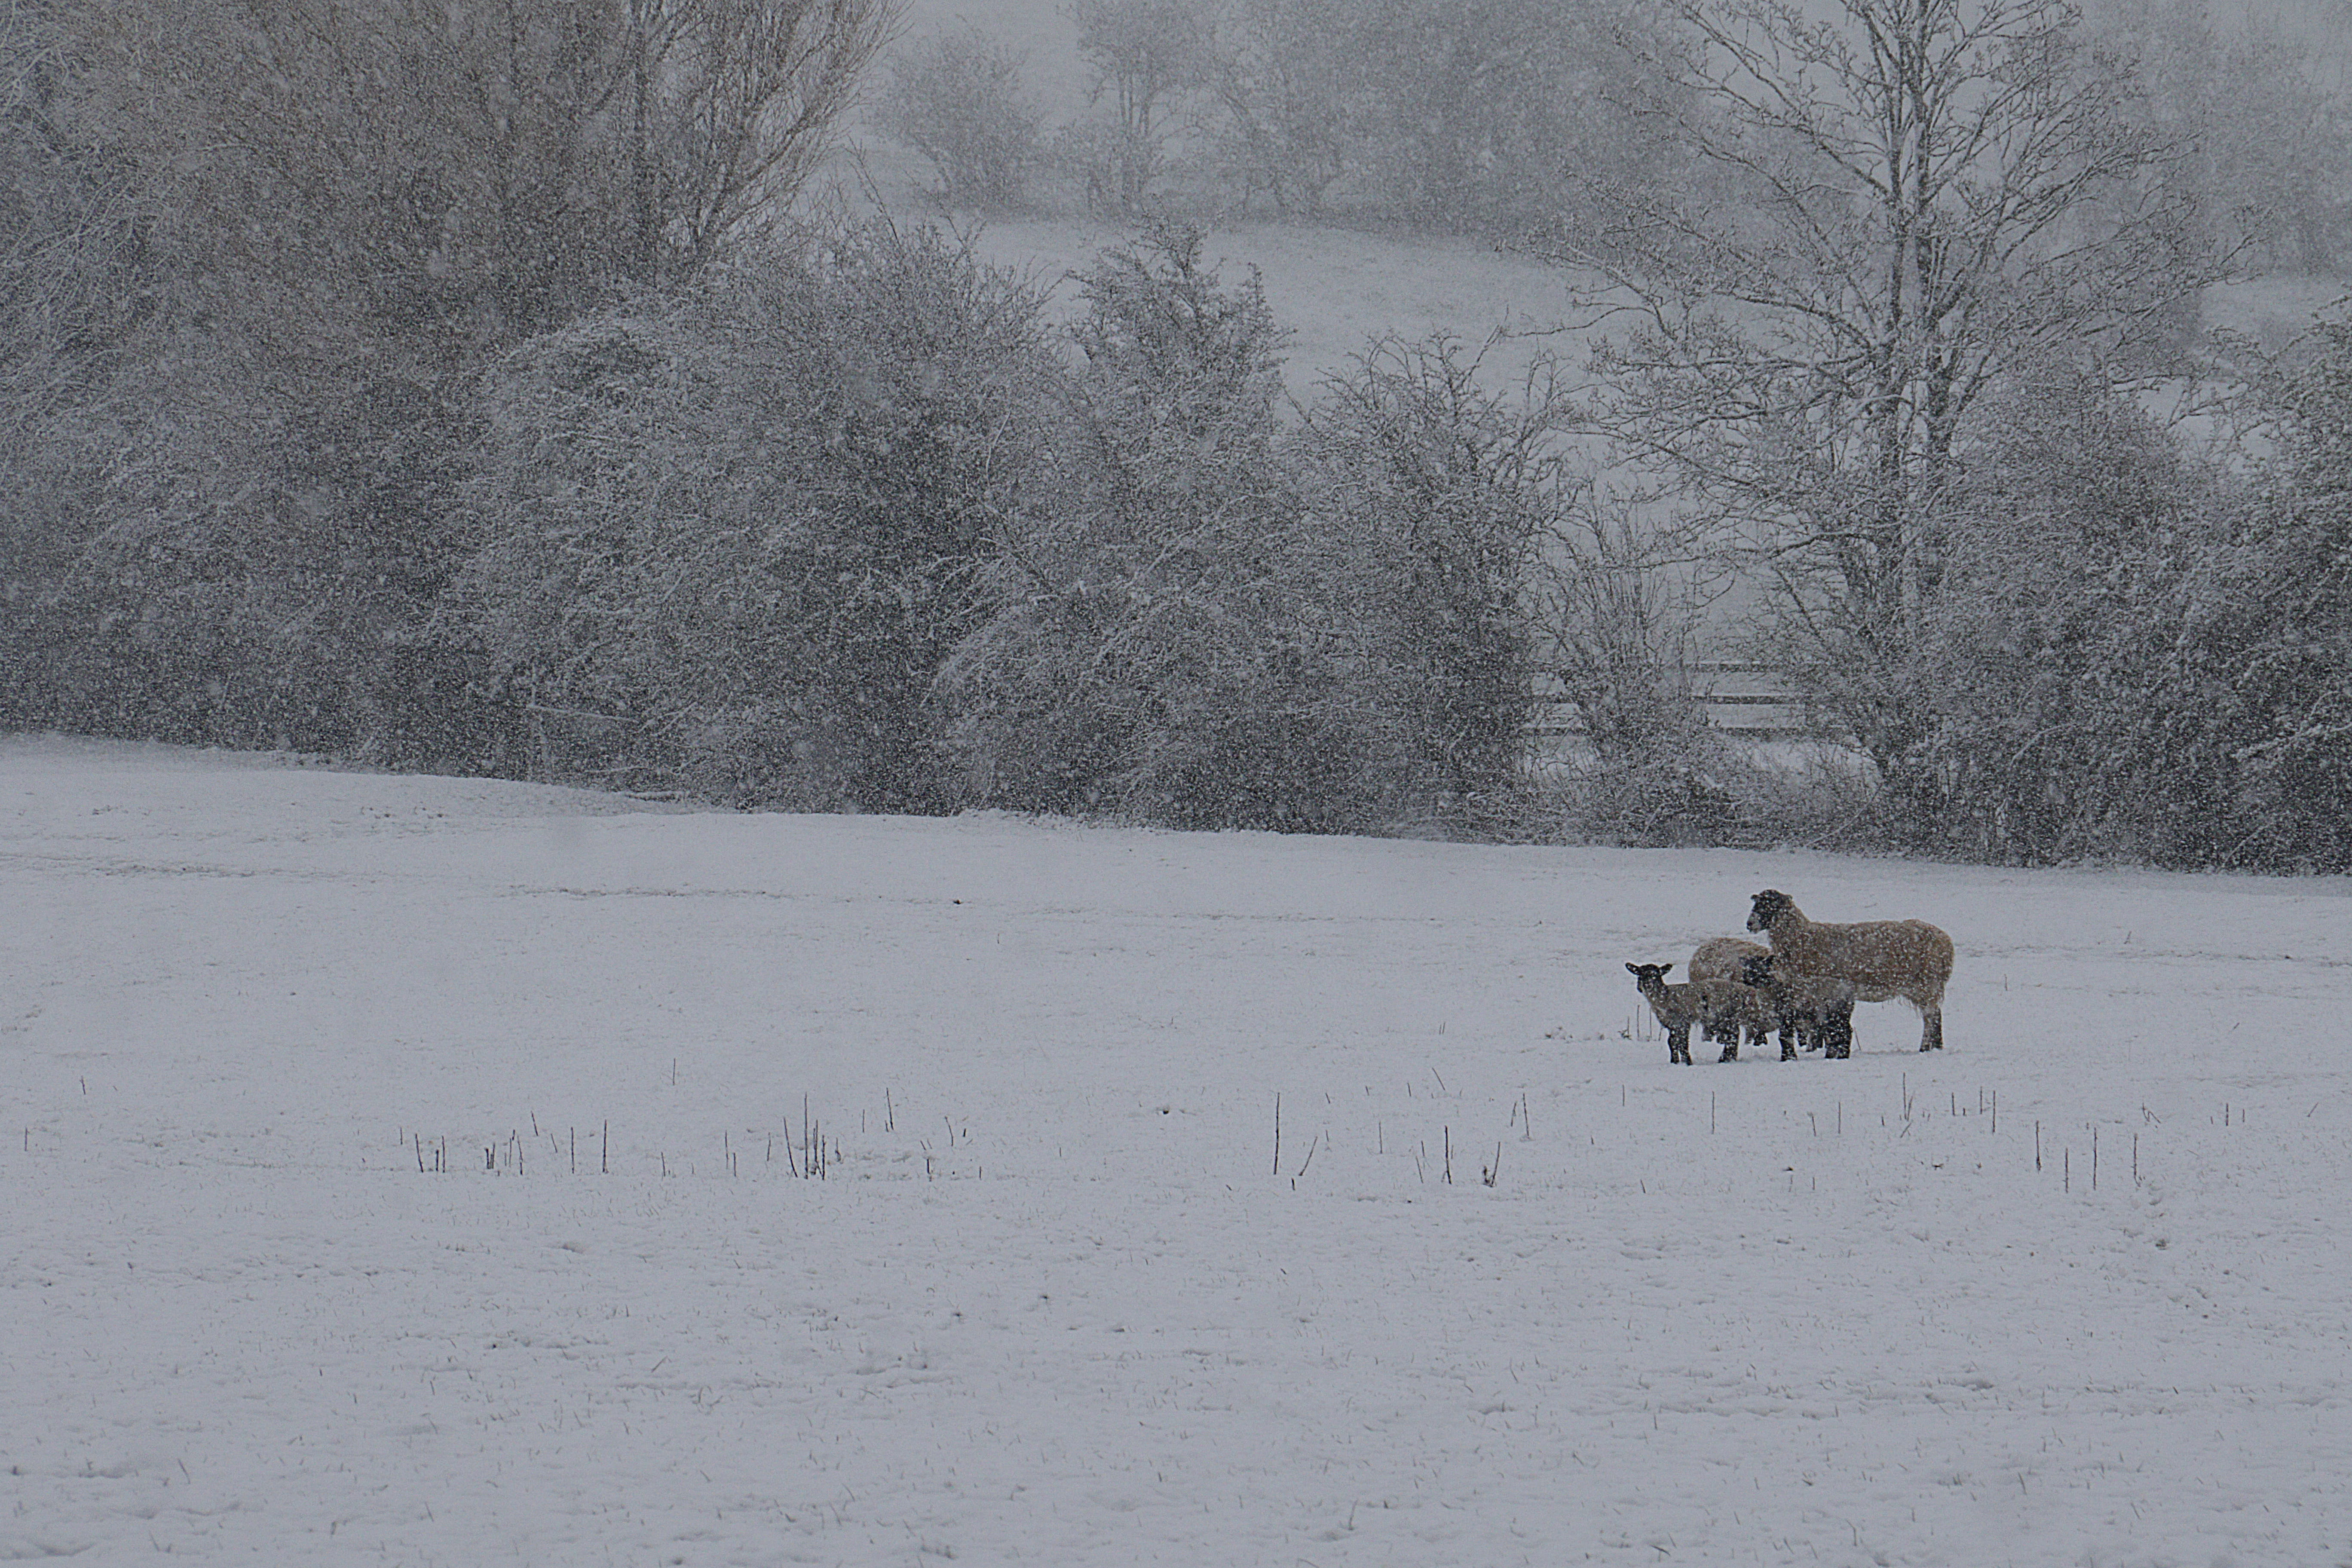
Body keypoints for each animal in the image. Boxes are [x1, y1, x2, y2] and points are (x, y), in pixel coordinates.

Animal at [1625, 961, 1753, 1065]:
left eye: (1656, 975)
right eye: (1640, 974)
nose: (1647, 985)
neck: (1665, 998)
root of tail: (1742, 991)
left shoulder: (1683, 1022)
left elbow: (1683, 1044)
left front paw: (1688, 1062)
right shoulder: (1672, 1025)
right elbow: (1672, 1042)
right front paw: (1675, 1062)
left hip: (1724, 1016)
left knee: (1733, 1036)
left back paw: (1724, 1060)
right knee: (1734, 1035)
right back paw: (1728, 1059)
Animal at [1745, 890, 1953, 1053]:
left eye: (1771, 904)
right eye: (1757, 903)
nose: (1750, 924)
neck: (1802, 938)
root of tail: (1945, 941)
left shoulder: (1820, 990)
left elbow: (1820, 1024)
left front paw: (1817, 1048)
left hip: (1925, 984)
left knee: (1931, 1016)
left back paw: (1925, 1047)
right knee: (1936, 1015)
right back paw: (1936, 1047)